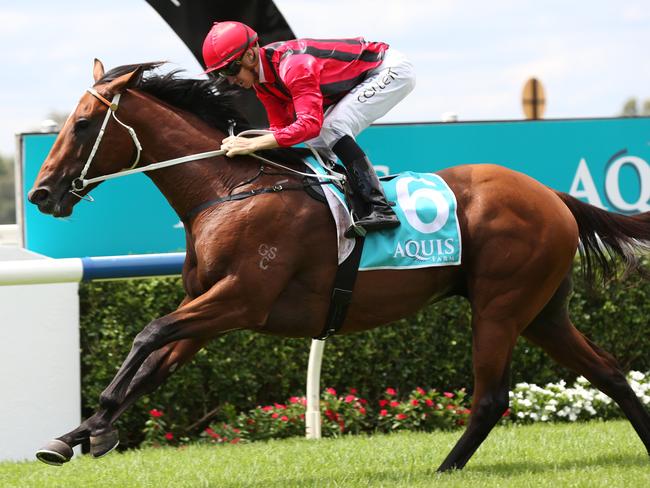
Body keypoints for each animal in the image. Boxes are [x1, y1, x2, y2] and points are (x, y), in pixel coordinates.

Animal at [29, 59, 648, 470]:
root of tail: (553, 196)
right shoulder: (206, 307)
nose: (41, 193)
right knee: (609, 372)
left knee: (492, 396)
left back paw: (444, 469)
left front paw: (97, 424)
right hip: (541, 311)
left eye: (82, 124)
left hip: (500, 306)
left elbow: (148, 334)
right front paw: (75, 435)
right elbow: (153, 364)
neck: (228, 189)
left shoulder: (239, 299)